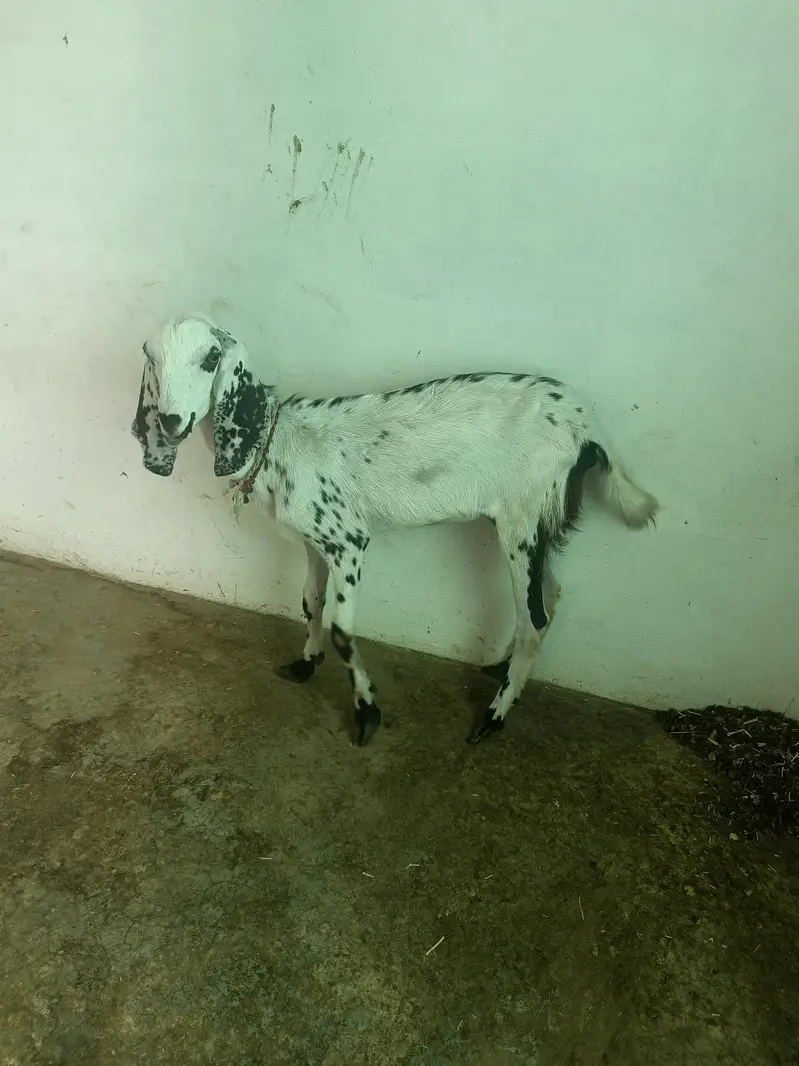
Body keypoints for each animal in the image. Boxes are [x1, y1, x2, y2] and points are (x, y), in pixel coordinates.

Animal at [132, 314, 659, 745]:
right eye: (150, 357)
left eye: (211, 358)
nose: (171, 422)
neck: (277, 441)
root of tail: (586, 431)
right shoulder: (312, 542)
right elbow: (309, 602)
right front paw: (305, 664)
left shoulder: (348, 540)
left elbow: (342, 630)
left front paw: (367, 713)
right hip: (535, 522)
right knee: (550, 595)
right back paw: (501, 670)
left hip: (523, 521)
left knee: (535, 621)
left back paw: (493, 718)